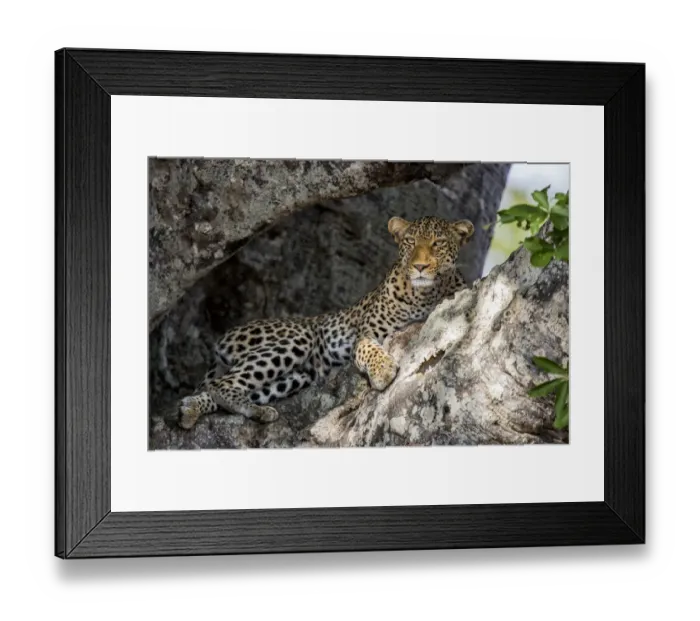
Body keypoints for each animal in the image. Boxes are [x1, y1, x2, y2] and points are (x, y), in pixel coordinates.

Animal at [178, 215, 475, 430]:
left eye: (438, 243)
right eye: (410, 242)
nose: (420, 267)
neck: (425, 294)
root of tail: (224, 338)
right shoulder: (365, 334)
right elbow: (368, 348)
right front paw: (382, 371)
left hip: (299, 375)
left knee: (223, 388)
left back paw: (193, 410)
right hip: (298, 337)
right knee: (222, 384)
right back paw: (251, 410)